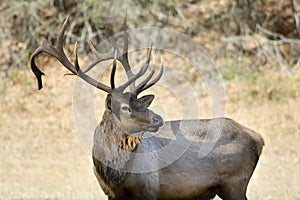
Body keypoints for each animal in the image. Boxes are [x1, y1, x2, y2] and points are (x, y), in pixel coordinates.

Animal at [30, 17, 264, 200]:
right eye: (126, 107)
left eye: (141, 103)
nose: (158, 119)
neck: (115, 176)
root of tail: (258, 138)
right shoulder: (110, 195)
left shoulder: (150, 189)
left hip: (235, 182)